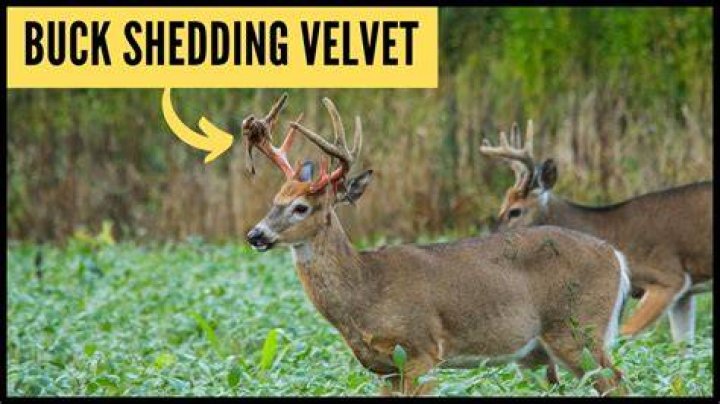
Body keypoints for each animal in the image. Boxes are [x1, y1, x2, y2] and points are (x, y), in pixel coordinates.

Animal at [239, 94, 631, 396]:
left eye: (301, 207)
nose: (255, 234)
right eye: (275, 199)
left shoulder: (421, 353)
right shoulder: (386, 369)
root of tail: (615, 256)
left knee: (618, 381)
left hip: (578, 329)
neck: (367, 289)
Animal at [479, 121, 712, 346]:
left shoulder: (669, 277)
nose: (490, 239)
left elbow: (623, 336)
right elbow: (683, 347)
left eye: (515, 211)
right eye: (502, 206)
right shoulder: (685, 294)